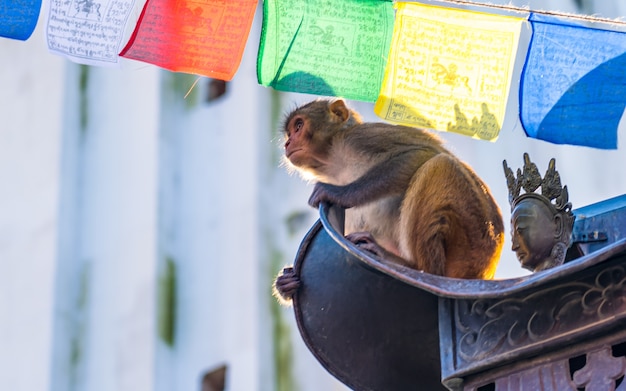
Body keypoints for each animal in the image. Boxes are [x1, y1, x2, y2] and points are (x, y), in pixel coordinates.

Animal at [272, 99, 502, 304]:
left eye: (299, 126)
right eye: (290, 132)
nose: (288, 143)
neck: (335, 164)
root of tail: (487, 268)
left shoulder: (358, 138)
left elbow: (419, 153)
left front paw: (339, 193)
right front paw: (285, 282)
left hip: (474, 238)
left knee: (439, 165)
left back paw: (415, 267)